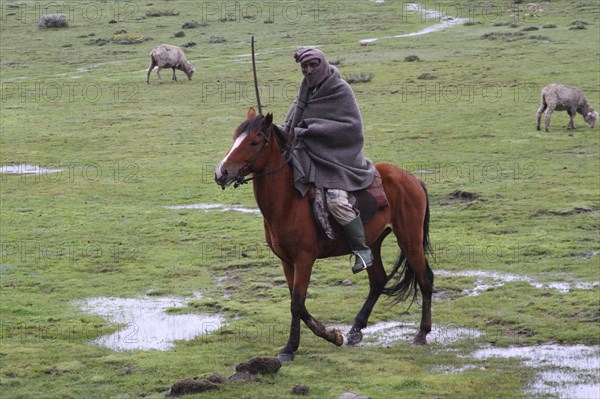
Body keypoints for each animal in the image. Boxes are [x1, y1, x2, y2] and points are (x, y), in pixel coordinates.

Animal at [214, 108, 432, 362]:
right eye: (235, 138)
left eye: (254, 142)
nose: (221, 173)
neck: (289, 201)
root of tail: (413, 179)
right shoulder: (287, 261)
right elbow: (297, 302)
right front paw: (332, 335)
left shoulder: (304, 259)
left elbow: (297, 303)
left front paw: (290, 348)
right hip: (373, 244)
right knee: (378, 281)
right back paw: (355, 330)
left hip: (410, 240)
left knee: (425, 278)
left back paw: (422, 333)